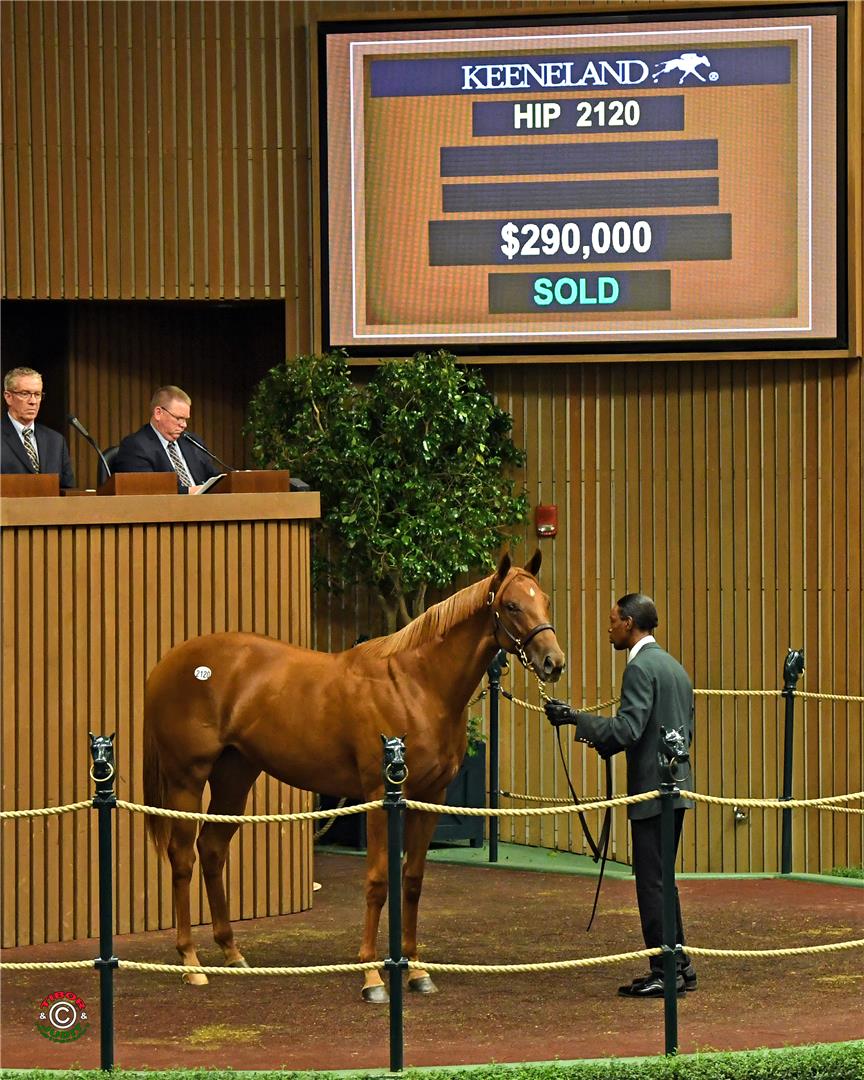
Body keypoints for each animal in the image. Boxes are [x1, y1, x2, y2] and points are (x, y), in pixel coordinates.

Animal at [143, 552, 565, 997]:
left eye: (545, 601)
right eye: (512, 605)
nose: (554, 662)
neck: (416, 685)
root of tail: (168, 663)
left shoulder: (430, 797)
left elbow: (412, 880)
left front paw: (417, 971)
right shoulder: (380, 795)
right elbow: (378, 881)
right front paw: (371, 976)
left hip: (235, 776)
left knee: (212, 850)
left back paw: (231, 953)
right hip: (186, 779)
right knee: (183, 857)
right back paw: (191, 962)